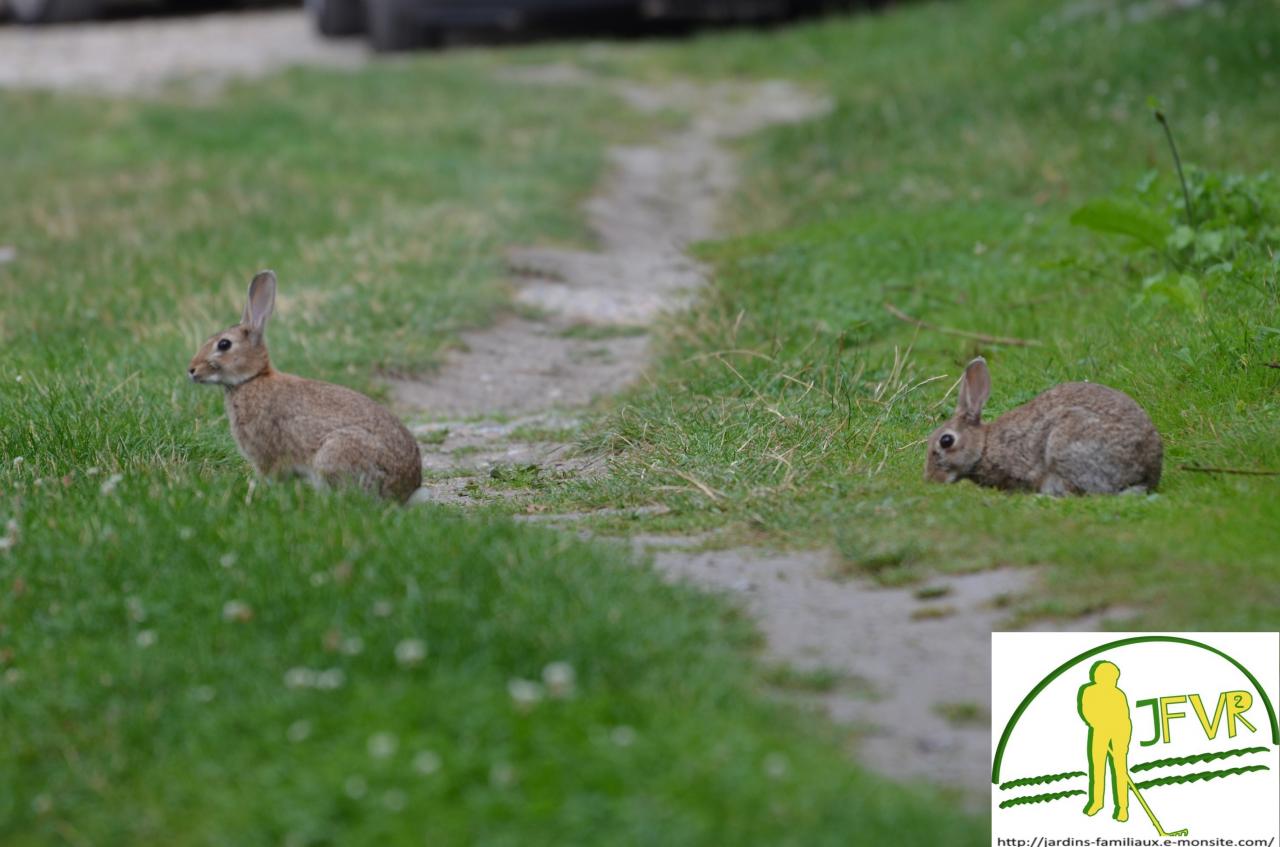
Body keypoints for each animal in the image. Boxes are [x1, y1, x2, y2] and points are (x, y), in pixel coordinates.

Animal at [186, 269, 422, 504]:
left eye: (224, 344)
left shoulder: (266, 454)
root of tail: (406, 489)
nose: (191, 370)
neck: (252, 379)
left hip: (334, 453)